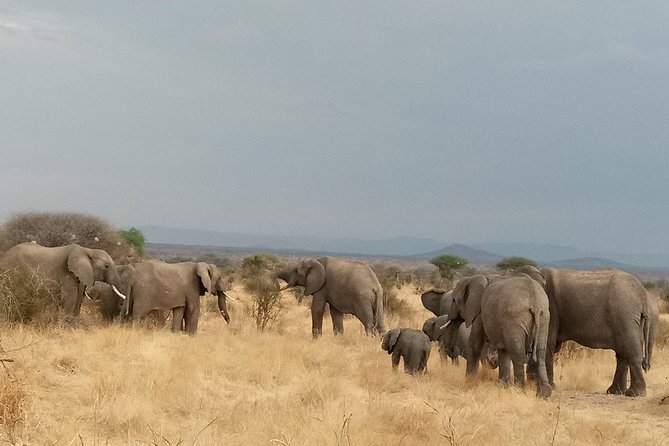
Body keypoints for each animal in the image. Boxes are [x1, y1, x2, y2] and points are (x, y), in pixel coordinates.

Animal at [523, 267, 658, 397]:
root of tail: (643, 295)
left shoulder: (550, 308)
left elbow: (547, 343)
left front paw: (546, 387)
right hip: (628, 319)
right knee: (623, 353)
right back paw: (616, 391)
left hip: (625, 315)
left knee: (630, 350)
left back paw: (634, 394)